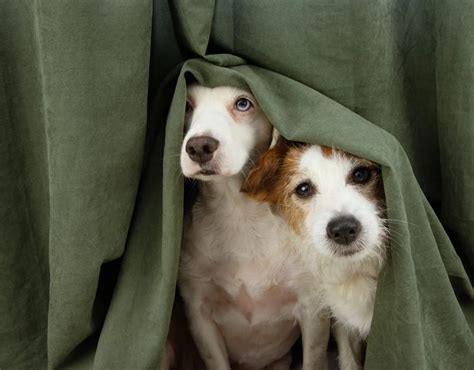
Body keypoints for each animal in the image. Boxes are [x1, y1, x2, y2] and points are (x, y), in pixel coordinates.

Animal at [178, 86, 330, 370]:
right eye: (186, 104)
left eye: (243, 103)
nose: (199, 146)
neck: (240, 215)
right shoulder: (199, 314)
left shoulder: (313, 308)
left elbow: (314, 360)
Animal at [241, 137, 388, 368]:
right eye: (303, 189)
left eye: (361, 174)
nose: (343, 229)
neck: (360, 270)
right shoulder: (345, 326)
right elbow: (350, 361)